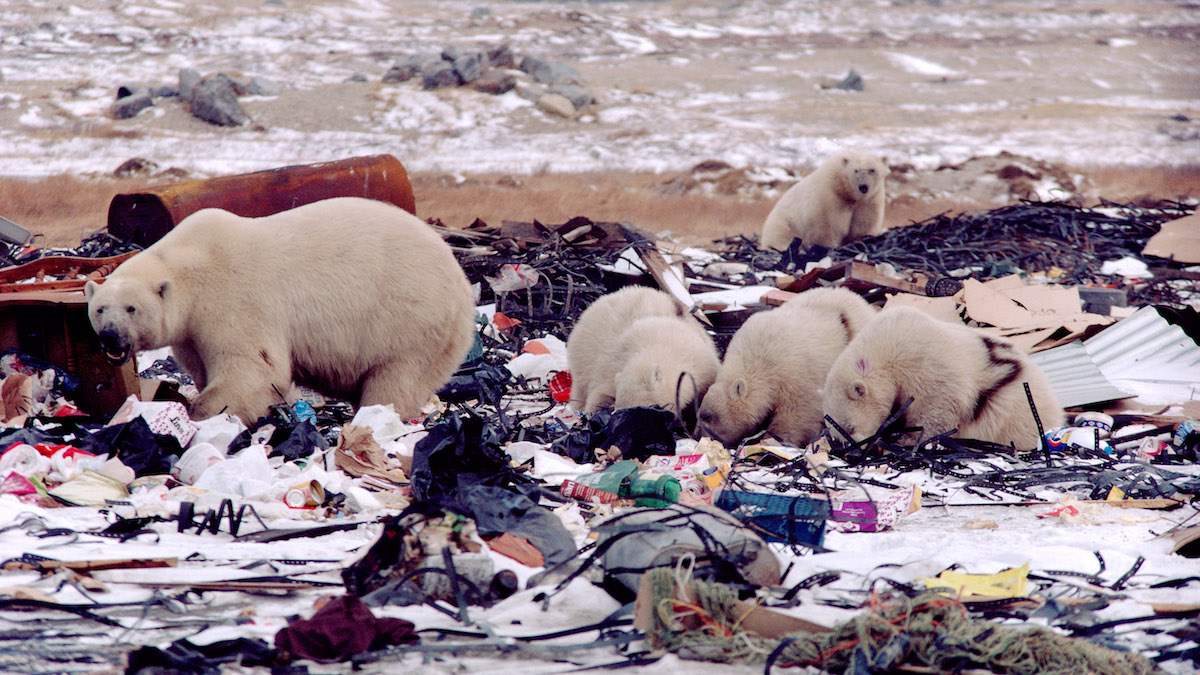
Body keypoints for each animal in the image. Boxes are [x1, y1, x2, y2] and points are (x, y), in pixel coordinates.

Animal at [84, 194, 475, 420]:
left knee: (394, 379)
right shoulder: (190, 331)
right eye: (100, 309)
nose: (110, 338)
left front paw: (202, 411)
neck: (190, 265)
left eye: (131, 308)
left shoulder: (232, 299)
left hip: (409, 319)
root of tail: (464, 288)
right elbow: (202, 364)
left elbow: (254, 368)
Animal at [696, 283, 873, 446]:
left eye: (707, 416)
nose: (697, 436)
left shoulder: (795, 375)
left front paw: (774, 439)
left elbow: (797, 413)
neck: (759, 358)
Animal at [820, 305, 1065, 446]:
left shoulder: (924, 365)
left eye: (849, 427)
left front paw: (909, 439)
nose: (849, 449)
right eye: (834, 432)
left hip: (1014, 411)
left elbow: (936, 407)